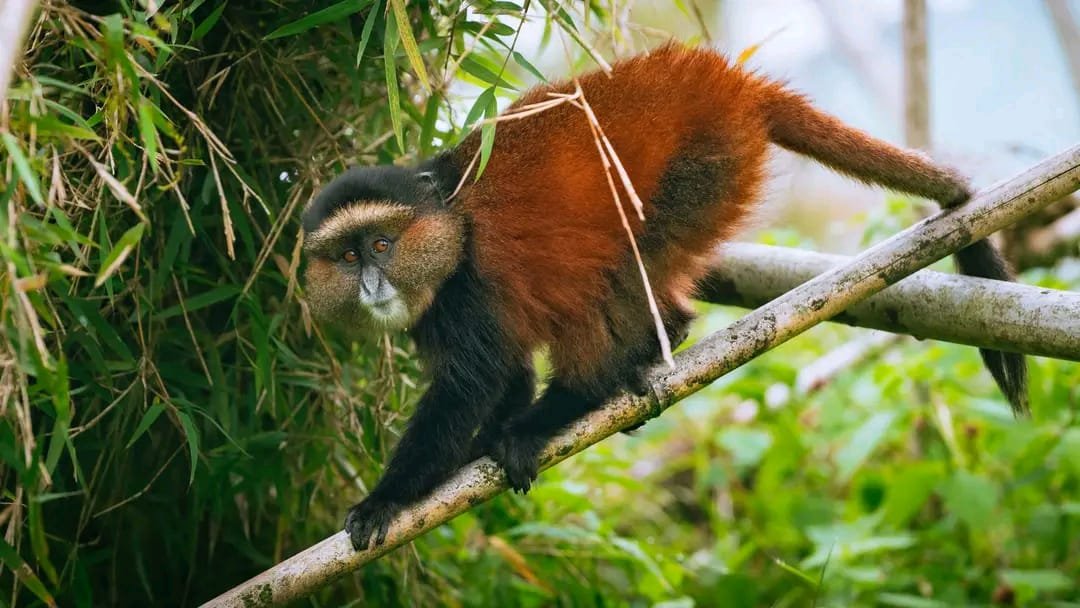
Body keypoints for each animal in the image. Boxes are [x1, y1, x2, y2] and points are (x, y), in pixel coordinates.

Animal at [301, 42, 1028, 551]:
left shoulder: (469, 291)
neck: (449, 228)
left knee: (627, 268)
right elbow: (505, 377)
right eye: (347, 256)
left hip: (705, 168)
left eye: (382, 245)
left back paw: (585, 393)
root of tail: (733, 84)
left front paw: (385, 499)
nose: (371, 283)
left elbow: (473, 388)